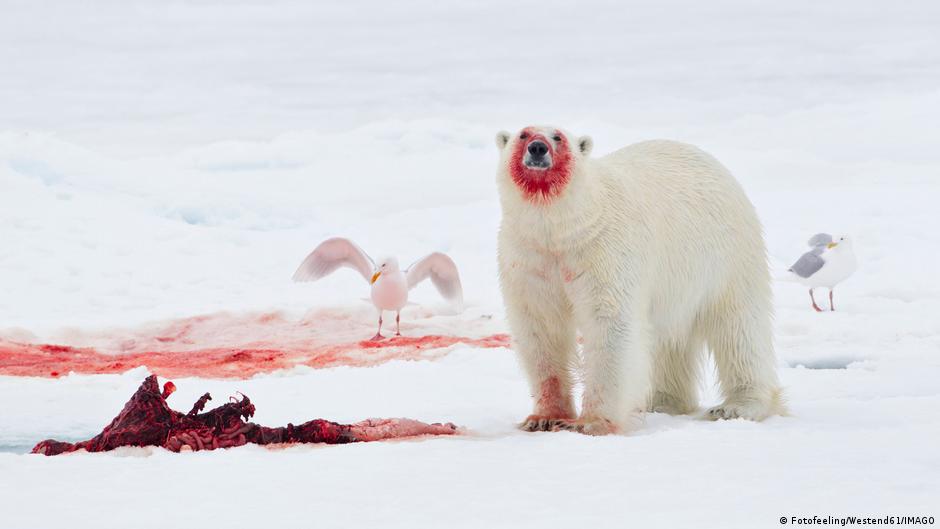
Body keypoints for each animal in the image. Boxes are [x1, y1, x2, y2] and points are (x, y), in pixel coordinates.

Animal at [494, 126, 784, 435]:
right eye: (524, 135)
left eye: (558, 137)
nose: (538, 148)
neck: (561, 229)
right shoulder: (529, 258)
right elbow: (541, 328)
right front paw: (544, 418)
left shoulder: (603, 251)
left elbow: (609, 324)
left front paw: (592, 422)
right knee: (668, 339)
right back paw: (662, 401)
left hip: (727, 256)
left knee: (738, 327)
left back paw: (737, 406)